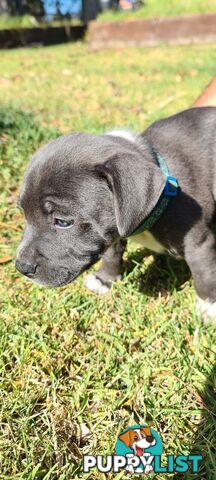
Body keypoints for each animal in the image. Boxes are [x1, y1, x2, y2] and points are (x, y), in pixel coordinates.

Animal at [16, 107, 216, 320]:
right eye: (24, 214)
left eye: (62, 222)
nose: (22, 267)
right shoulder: (108, 229)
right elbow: (111, 253)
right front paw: (105, 279)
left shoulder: (199, 245)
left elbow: (204, 274)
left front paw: (209, 307)